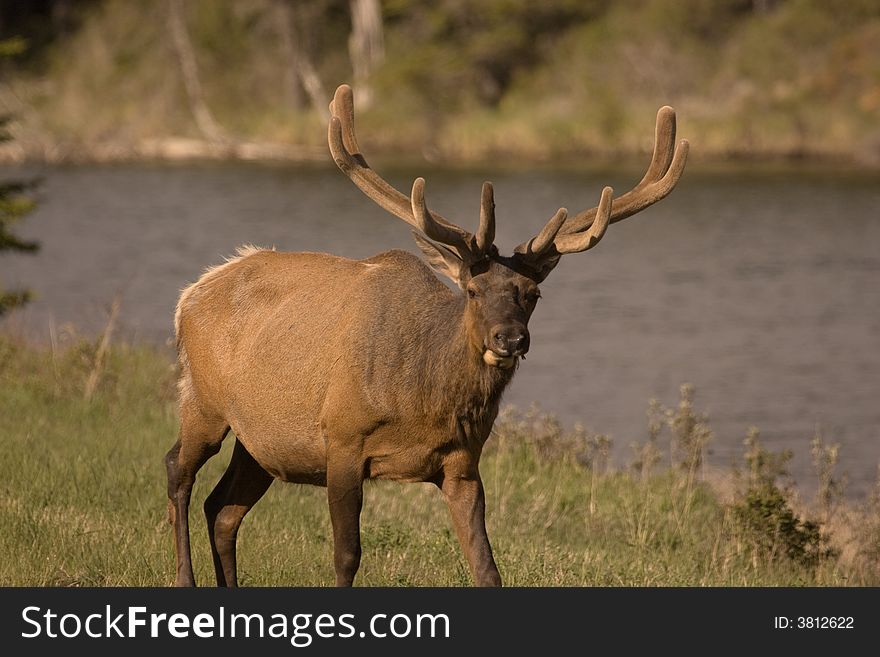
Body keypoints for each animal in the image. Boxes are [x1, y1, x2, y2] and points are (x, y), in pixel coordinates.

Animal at [163, 83, 688, 584]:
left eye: (533, 293)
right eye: (472, 290)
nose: (510, 339)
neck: (422, 401)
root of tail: (191, 292)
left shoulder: (462, 462)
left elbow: (486, 566)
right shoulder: (342, 439)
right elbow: (347, 556)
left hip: (261, 442)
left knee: (222, 509)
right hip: (203, 400)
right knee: (177, 471)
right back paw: (185, 578)